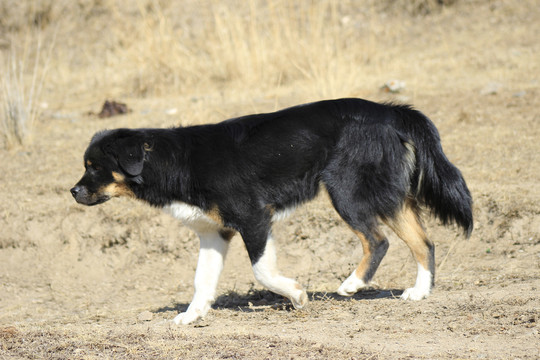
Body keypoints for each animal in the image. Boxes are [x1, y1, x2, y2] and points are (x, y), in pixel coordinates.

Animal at [71, 97, 472, 324]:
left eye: (94, 166)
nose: (73, 192)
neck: (176, 160)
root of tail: (387, 110)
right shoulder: (214, 233)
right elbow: (203, 280)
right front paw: (192, 315)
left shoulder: (254, 219)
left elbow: (262, 271)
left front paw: (296, 295)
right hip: (387, 195)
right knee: (423, 242)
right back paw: (419, 292)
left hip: (347, 191)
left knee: (378, 240)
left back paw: (353, 284)